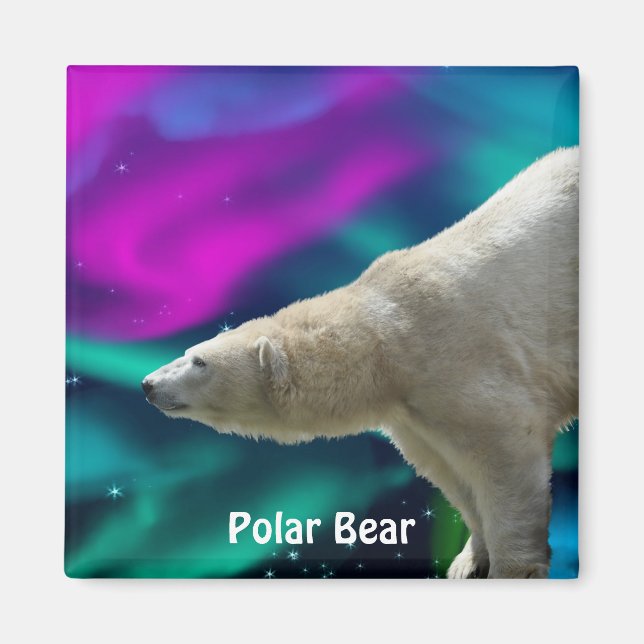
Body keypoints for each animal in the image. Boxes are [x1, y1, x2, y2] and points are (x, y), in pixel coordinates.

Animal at [142, 146, 579, 579]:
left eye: (199, 362)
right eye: (189, 352)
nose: (147, 384)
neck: (388, 333)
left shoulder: (462, 360)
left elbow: (506, 454)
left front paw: (509, 569)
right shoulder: (413, 413)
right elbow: (451, 473)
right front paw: (468, 561)